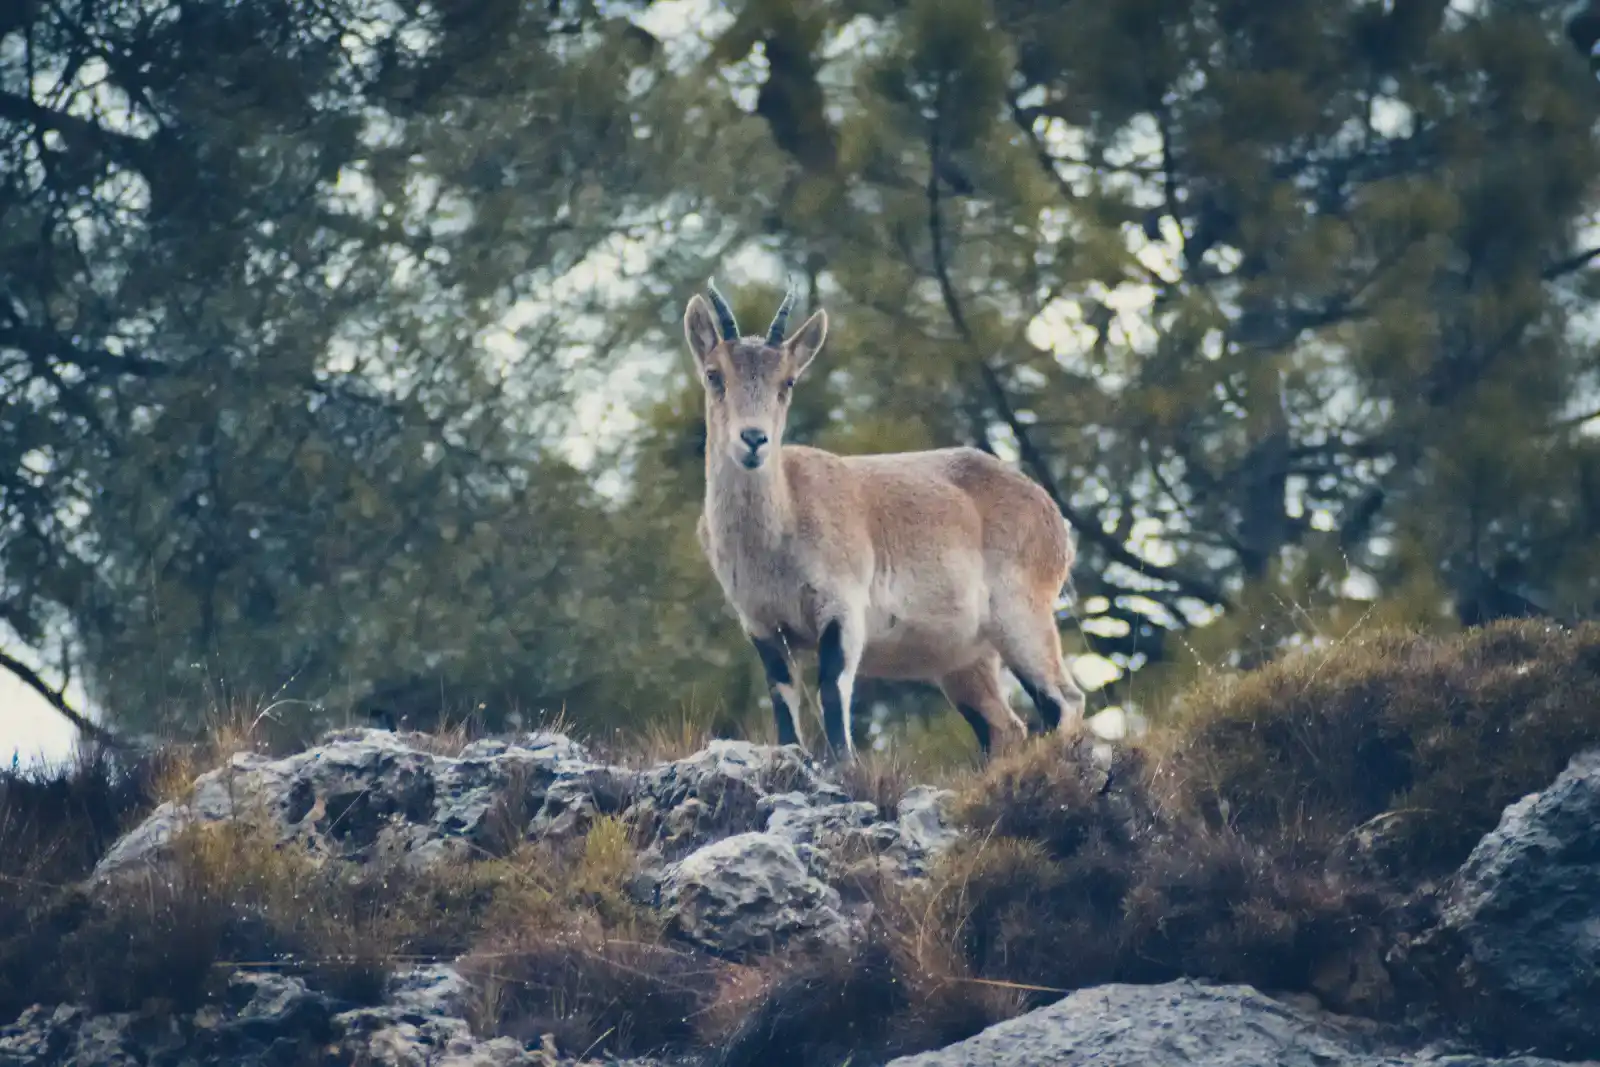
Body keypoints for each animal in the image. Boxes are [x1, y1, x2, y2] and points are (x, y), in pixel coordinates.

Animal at [684, 281, 1088, 763]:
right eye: (714, 375)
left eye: (788, 381)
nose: (753, 440)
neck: (781, 525)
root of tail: (1051, 516)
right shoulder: (764, 626)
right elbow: (783, 705)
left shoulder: (842, 609)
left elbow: (832, 688)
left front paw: (843, 765)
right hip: (967, 658)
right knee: (1003, 727)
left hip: (1022, 615)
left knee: (1064, 701)